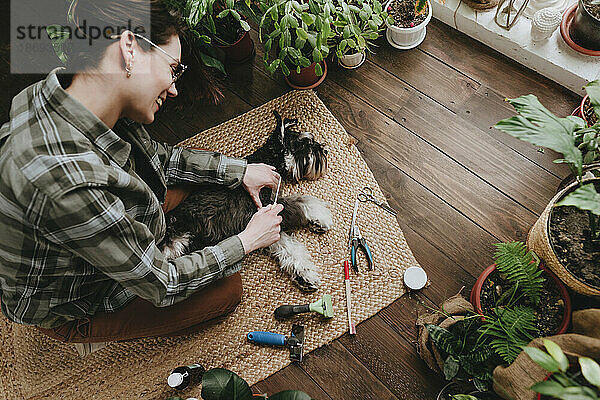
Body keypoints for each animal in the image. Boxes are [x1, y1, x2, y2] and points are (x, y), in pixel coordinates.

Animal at [159, 111, 332, 292]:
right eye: (304, 144)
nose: (325, 151)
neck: (270, 160)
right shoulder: (266, 208)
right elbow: (303, 202)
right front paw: (322, 217)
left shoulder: (268, 221)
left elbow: (286, 245)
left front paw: (304, 275)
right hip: (178, 242)